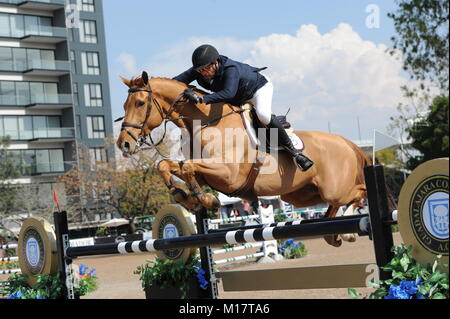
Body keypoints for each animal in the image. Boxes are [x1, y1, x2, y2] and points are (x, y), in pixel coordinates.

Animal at [115, 72, 372, 248]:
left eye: (140, 103)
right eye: (124, 105)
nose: (123, 144)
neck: (206, 122)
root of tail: (347, 142)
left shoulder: (228, 176)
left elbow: (187, 167)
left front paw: (205, 200)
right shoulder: (206, 175)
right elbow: (167, 165)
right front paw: (185, 197)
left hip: (333, 189)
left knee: (358, 192)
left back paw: (349, 229)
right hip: (301, 195)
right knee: (332, 209)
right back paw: (337, 235)